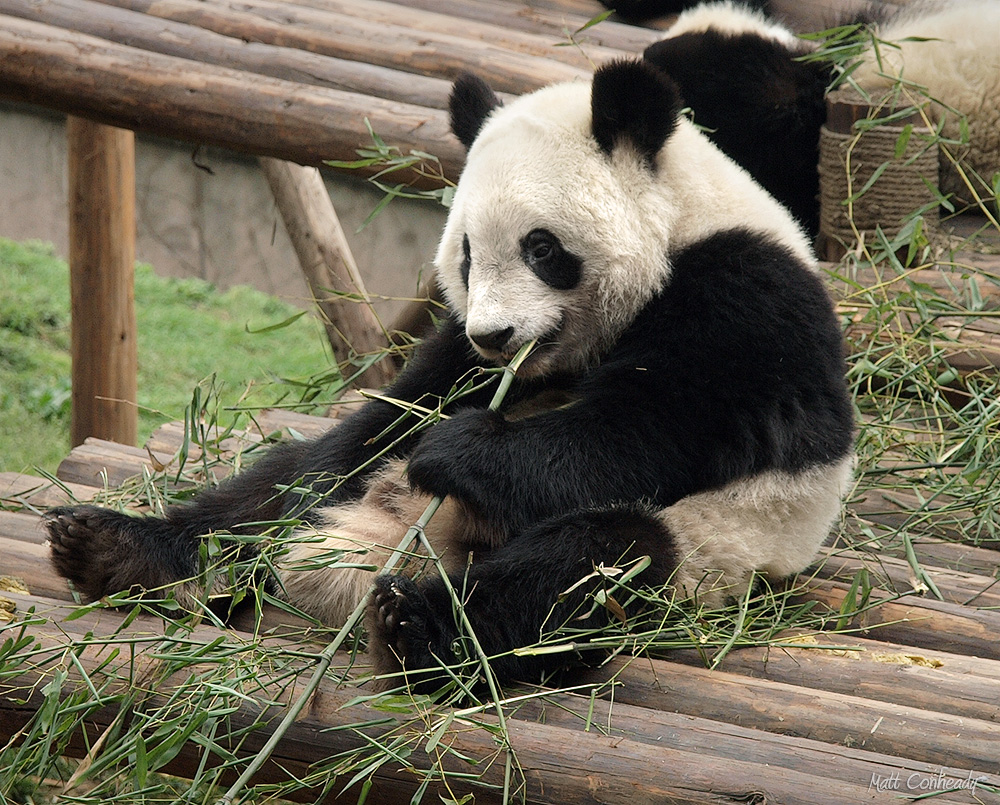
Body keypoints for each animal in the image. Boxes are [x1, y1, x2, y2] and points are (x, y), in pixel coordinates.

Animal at [47, 61, 856, 692]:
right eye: (465, 254)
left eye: (541, 247)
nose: (494, 336)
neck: (681, 224)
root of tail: (389, 545)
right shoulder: (453, 355)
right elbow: (397, 409)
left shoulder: (749, 296)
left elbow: (656, 425)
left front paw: (461, 450)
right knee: (287, 483)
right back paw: (119, 549)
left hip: (705, 551)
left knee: (598, 561)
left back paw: (414, 626)